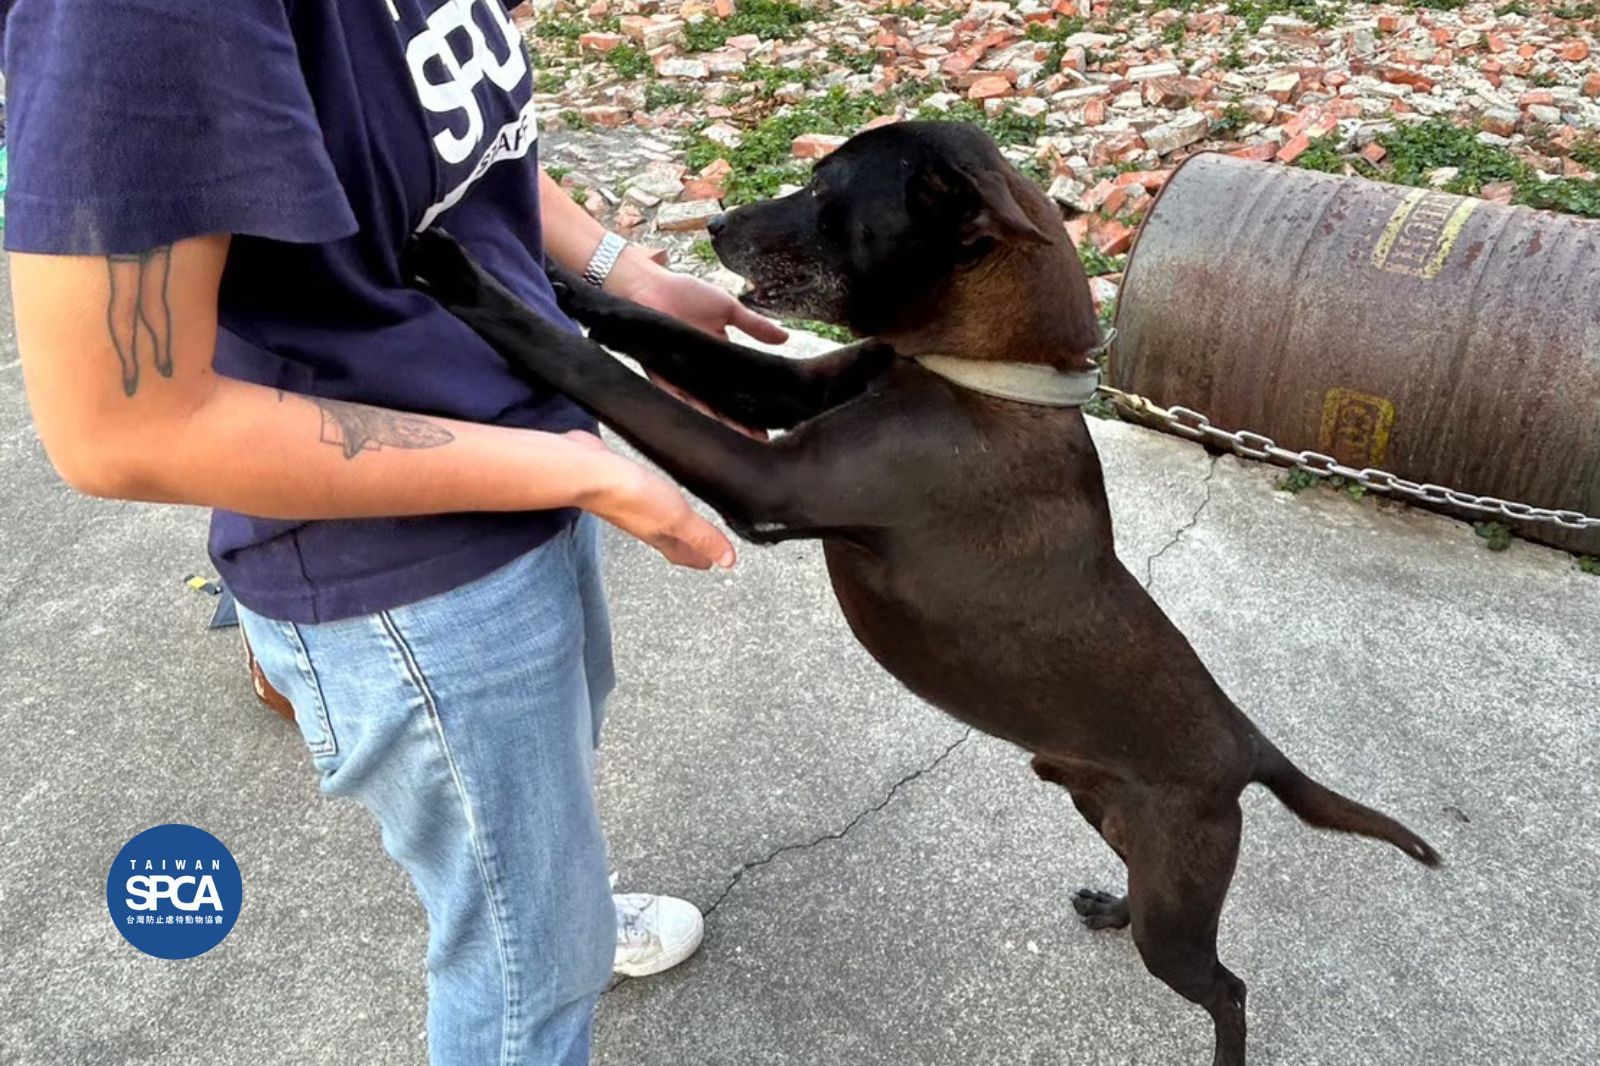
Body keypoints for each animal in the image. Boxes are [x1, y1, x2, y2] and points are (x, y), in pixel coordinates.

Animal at [403, 118, 1440, 1062]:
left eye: (829, 198)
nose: (719, 223)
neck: (979, 376)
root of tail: (1247, 744)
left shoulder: (764, 482)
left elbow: (595, 371)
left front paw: (460, 277)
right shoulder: (791, 391)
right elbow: (651, 331)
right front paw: (560, 275)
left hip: (1179, 900)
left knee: (1227, 988)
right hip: (1114, 822)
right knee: (1154, 910)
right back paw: (1107, 908)